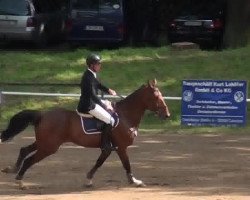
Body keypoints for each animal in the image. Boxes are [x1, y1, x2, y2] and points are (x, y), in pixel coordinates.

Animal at [0, 79, 170, 190]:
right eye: (156, 97)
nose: (167, 115)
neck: (125, 116)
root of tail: (42, 114)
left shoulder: (109, 148)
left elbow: (99, 162)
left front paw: (88, 180)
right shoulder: (121, 147)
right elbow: (126, 164)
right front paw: (135, 181)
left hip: (44, 143)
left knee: (24, 150)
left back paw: (13, 170)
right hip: (49, 147)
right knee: (29, 160)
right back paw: (20, 182)